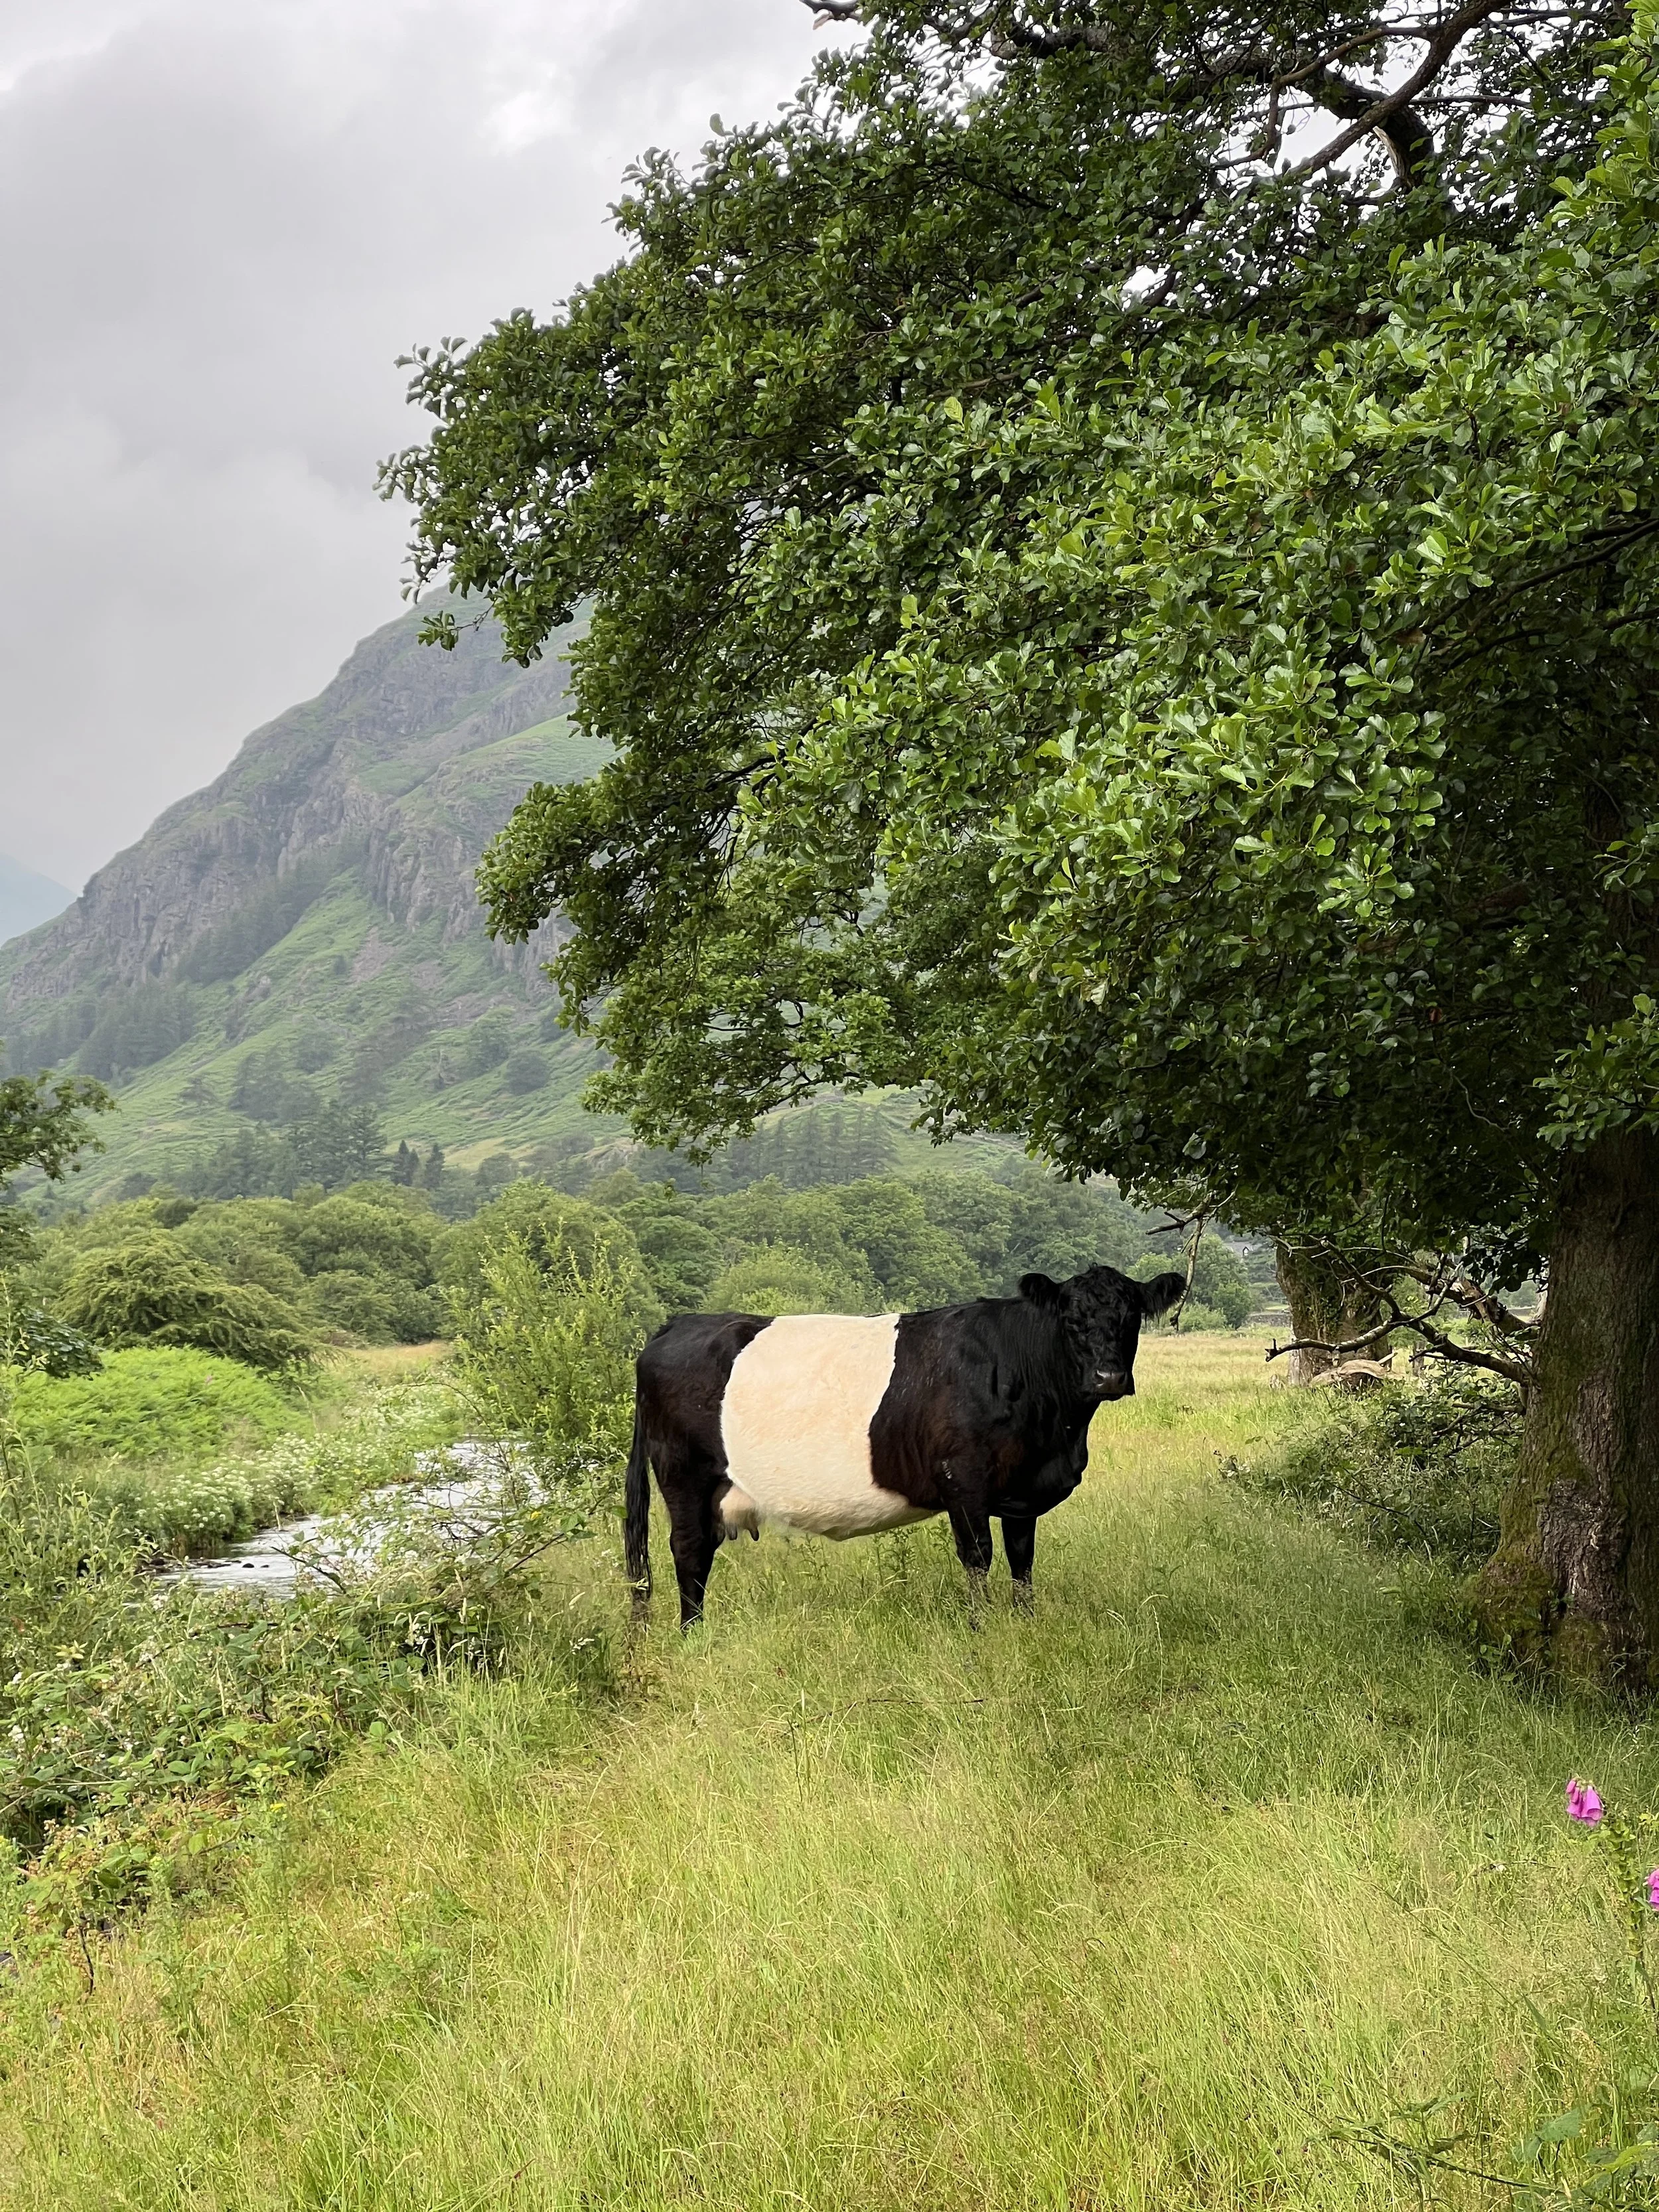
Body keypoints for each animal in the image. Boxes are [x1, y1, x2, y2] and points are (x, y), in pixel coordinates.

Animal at [623, 1263, 1187, 1628]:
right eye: (1071, 1320)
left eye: (1132, 1317)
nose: (1108, 1377)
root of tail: (676, 1324)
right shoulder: (964, 1481)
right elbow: (978, 1558)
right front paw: (981, 1629)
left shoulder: (1021, 1491)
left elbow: (1022, 1560)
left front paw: (1025, 1624)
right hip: (683, 1475)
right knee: (689, 1551)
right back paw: (694, 1636)